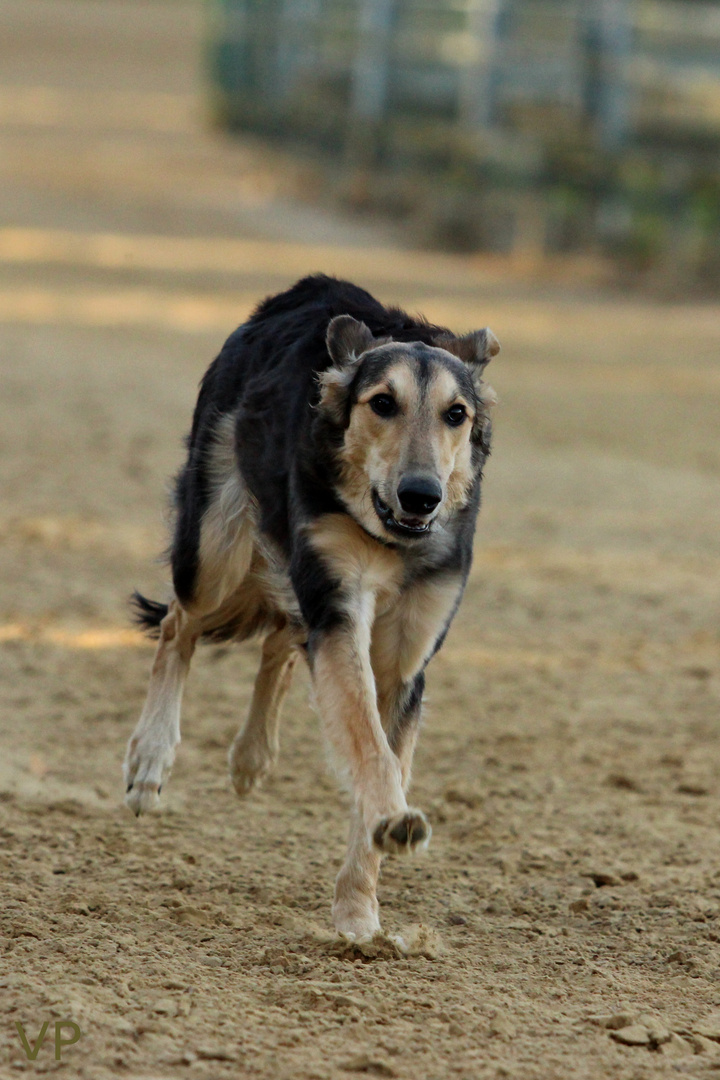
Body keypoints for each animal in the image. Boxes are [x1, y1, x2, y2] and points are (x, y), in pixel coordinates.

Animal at [124, 274, 498, 941]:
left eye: (457, 414)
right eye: (382, 403)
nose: (421, 497)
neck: (390, 540)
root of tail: (303, 289)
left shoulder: (403, 661)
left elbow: (381, 748)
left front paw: (358, 910)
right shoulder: (341, 604)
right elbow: (371, 748)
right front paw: (393, 822)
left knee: (281, 638)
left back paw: (251, 757)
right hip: (218, 543)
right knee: (178, 623)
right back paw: (151, 759)